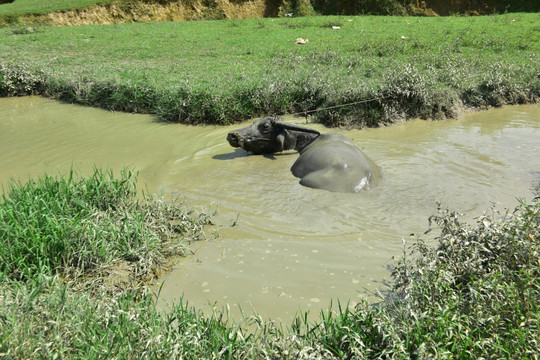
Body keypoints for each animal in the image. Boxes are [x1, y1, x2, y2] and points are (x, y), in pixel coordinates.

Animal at [226, 116, 382, 193]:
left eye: (265, 126)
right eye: (254, 122)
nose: (232, 135)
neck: (305, 141)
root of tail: (366, 180)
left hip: (308, 180)